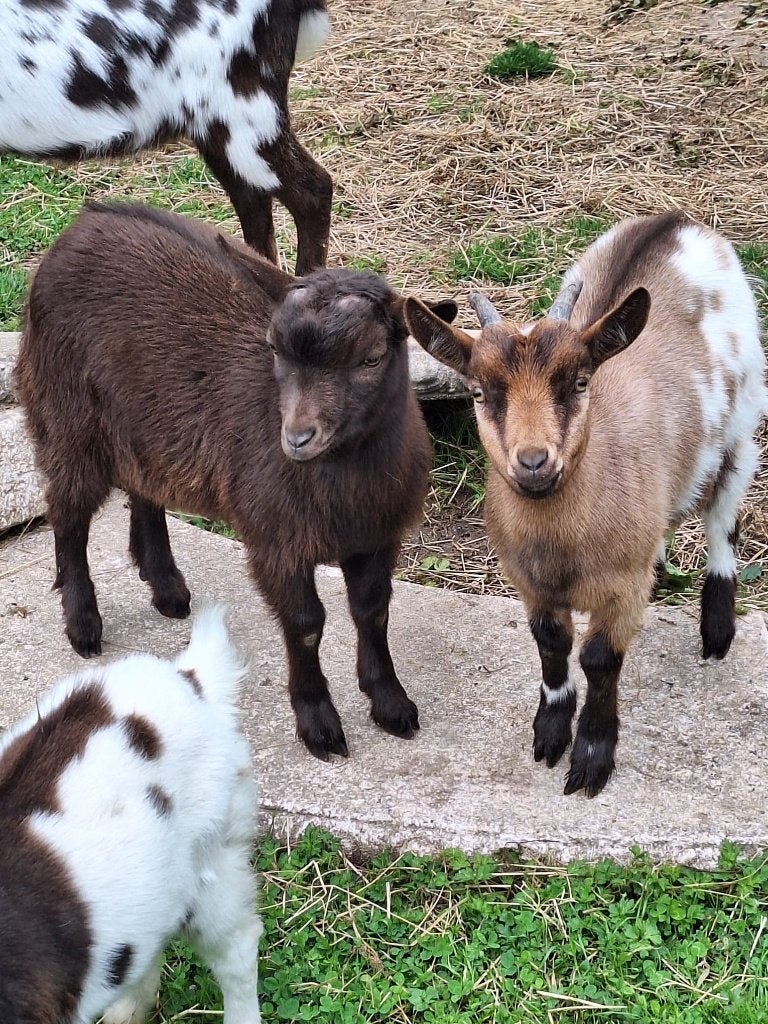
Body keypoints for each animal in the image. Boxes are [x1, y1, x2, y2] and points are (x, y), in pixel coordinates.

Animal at [16, 200, 458, 761]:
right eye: (276, 350)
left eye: (372, 357)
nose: (297, 437)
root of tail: (83, 221)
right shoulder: (276, 539)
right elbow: (306, 624)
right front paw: (319, 724)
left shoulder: (376, 535)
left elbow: (373, 611)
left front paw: (391, 704)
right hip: (67, 412)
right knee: (68, 513)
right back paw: (83, 625)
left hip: (141, 422)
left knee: (144, 485)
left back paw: (166, 586)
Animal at [405, 211, 767, 797]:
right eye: (479, 392)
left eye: (578, 382)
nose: (533, 462)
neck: (564, 544)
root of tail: (675, 221)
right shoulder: (529, 581)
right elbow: (551, 644)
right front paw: (551, 731)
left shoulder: (618, 590)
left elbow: (599, 660)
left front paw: (592, 755)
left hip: (741, 424)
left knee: (722, 518)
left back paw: (717, 627)